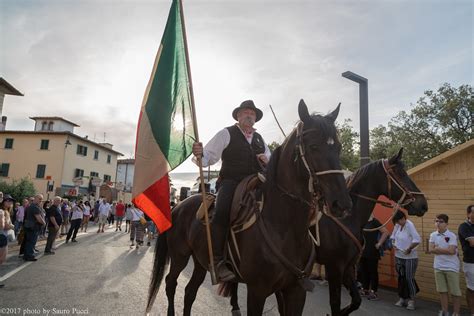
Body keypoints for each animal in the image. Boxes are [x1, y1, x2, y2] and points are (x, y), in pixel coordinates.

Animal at [146, 100, 354, 314]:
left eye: (338, 147)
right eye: (313, 146)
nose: (342, 204)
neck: (284, 227)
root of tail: (178, 206)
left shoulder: (296, 291)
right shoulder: (258, 291)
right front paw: (199, 152)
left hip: (201, 262)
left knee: (189, 292)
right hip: (180, 255)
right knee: (171, 284)